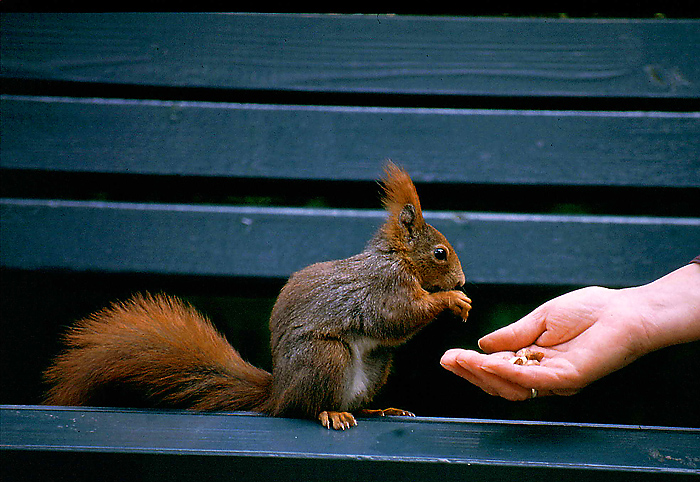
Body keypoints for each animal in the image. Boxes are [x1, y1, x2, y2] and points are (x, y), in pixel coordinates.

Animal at [42, 162, 470, 430]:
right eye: (440, 253)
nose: (463, 282)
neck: (397, 259)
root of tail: (277, 393)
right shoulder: (383, 287)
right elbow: (395, 316)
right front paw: (451, 301)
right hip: (325, 357)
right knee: (304, 409)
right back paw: (329, 413)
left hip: (378, 363)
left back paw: (377, 409)